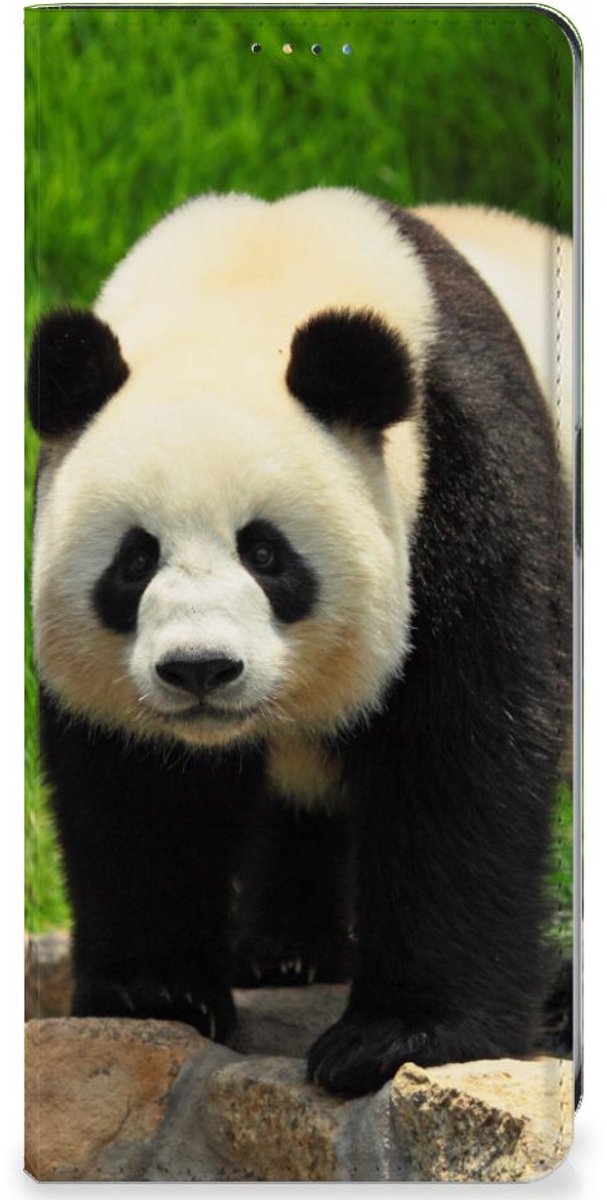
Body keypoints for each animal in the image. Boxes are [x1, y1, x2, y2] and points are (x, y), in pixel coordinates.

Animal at [28, 188, 572, 1097]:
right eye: (135, 560)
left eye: (266, 553)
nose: (200, 669)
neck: (250, 280)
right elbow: (138, 788)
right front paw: (156, 992)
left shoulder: (466, 479)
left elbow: (459, 757)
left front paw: (398, 1037)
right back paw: (284, 950)